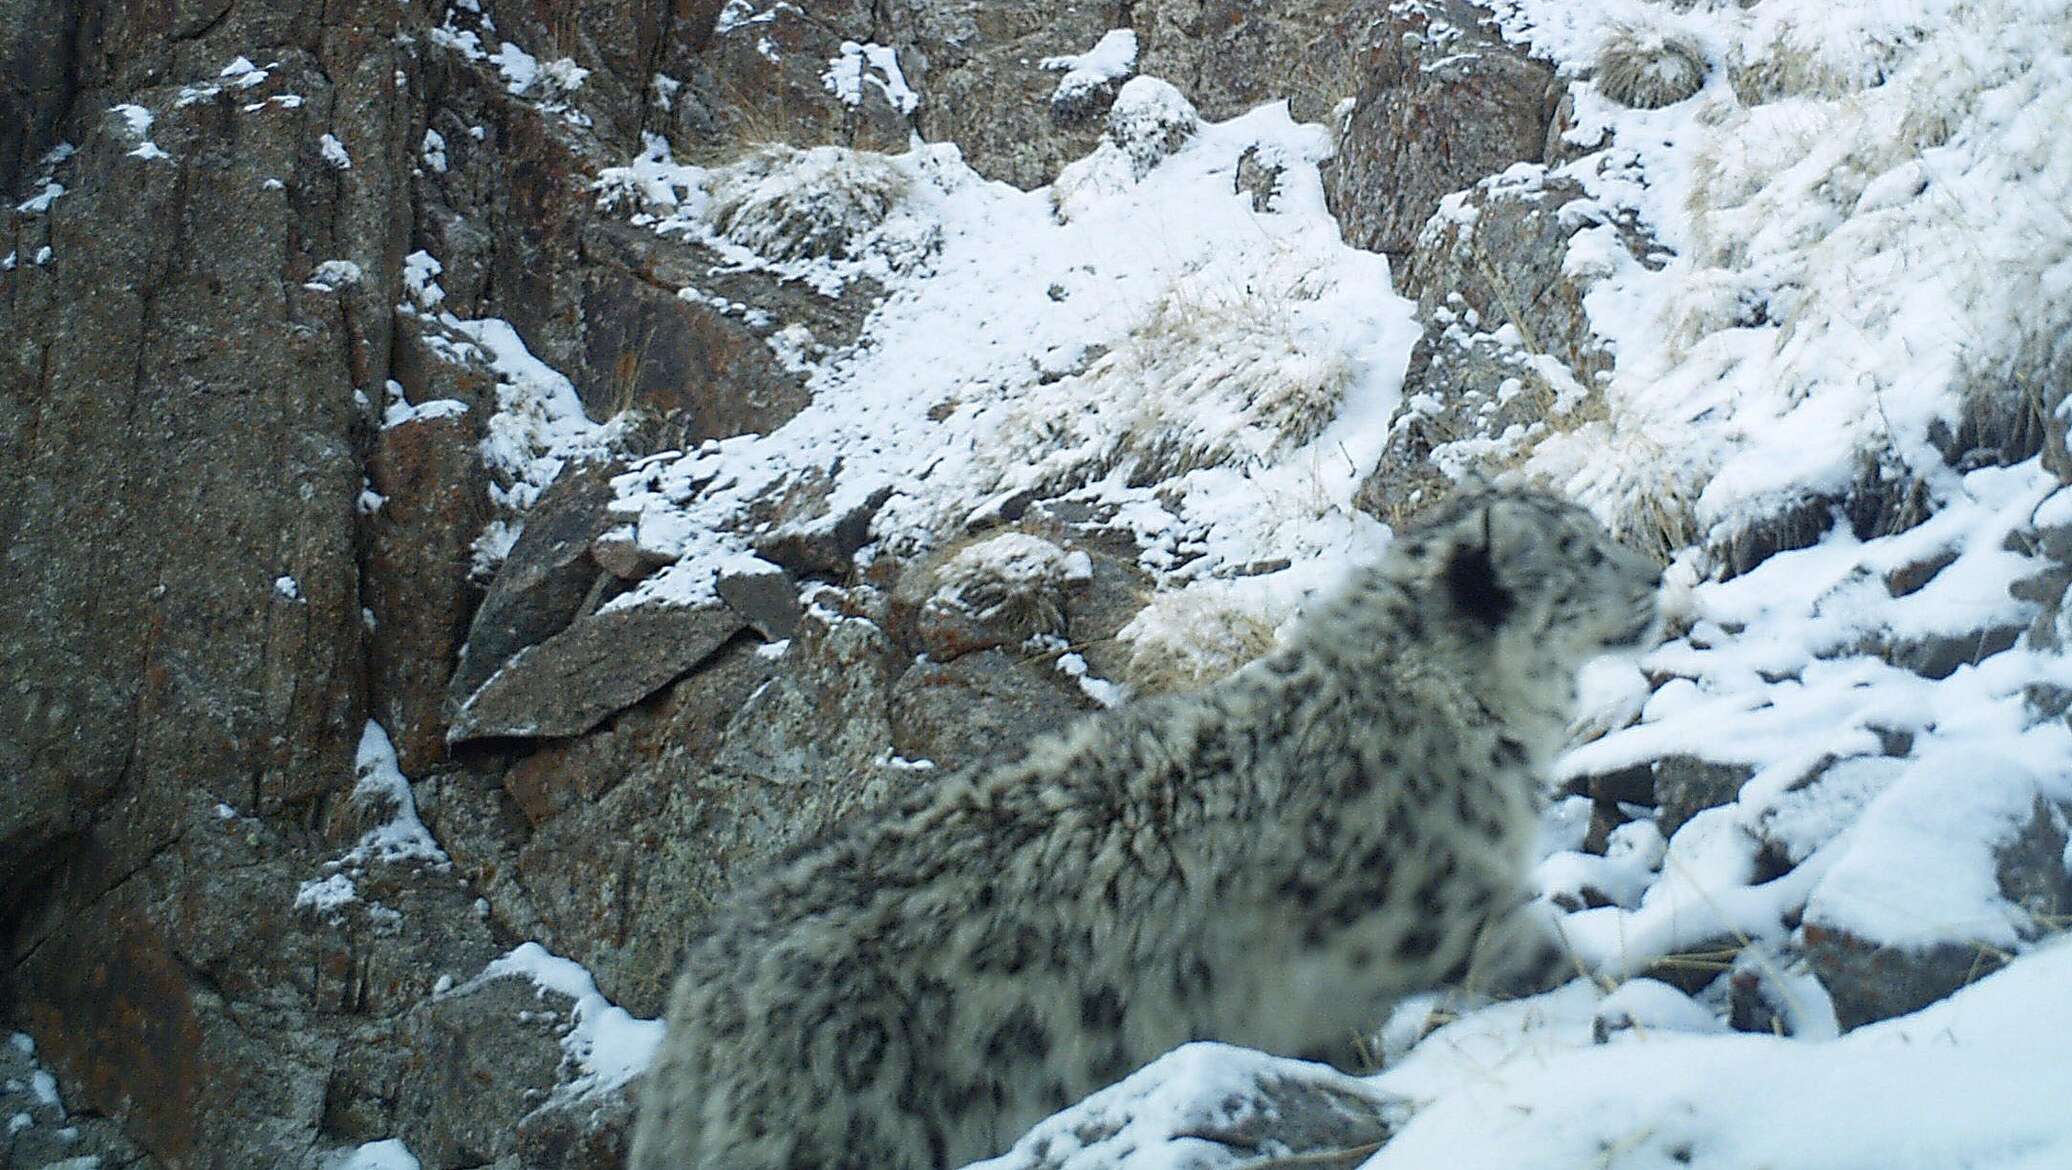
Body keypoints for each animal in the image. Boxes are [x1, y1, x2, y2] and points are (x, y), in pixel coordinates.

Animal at [621, 484, 1657, 1167]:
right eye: (1582, 553)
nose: (1656, 574)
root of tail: (701, 1003)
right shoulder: (1413, 908)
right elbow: (1514, 939)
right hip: (846, 1124)